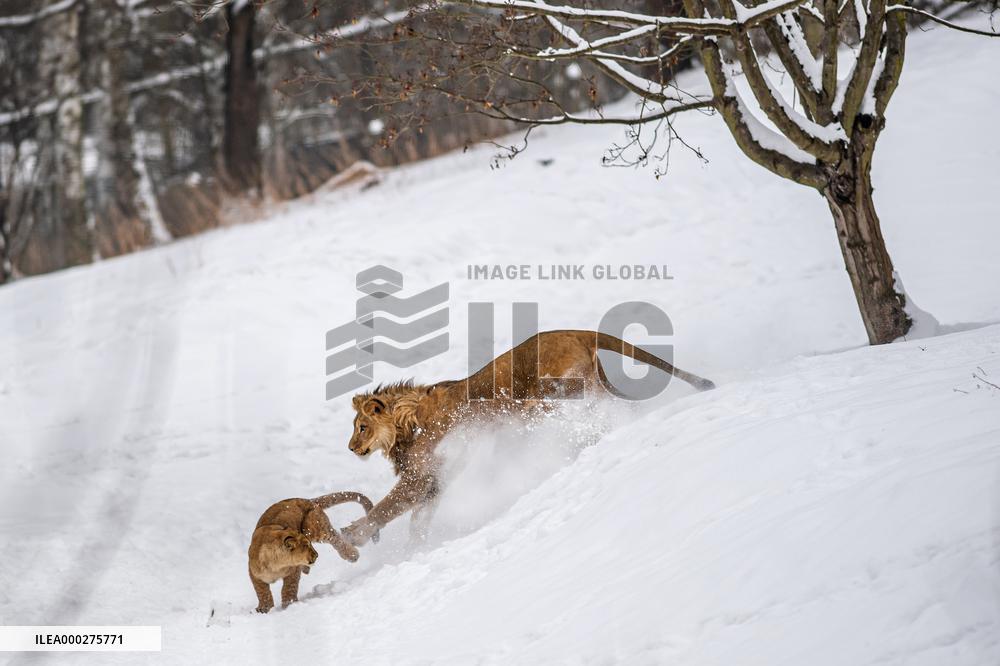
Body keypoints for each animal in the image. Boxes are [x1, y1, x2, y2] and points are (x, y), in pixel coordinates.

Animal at [248, 491, 378, 613]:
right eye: (306, 545)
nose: (316, 555)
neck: (277, 565)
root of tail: (306, 500)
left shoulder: (293, 572)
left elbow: (289, 587)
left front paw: (289, 604)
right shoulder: (254, 574)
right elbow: (262, 591)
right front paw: (264, 608)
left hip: (313, 528)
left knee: (335, 536)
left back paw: (352, 555)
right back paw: (307, 569)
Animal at [341, 330, 714, 545]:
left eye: (361, 427)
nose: (351, 447)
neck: (409, 424)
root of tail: (577, 332)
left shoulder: (422, 474)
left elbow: (386, 508)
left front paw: (353, 534)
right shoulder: (434, 482)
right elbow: (416, 522)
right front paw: (411, 549)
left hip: (560, 385)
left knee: (551, 406)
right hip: (596, 385)